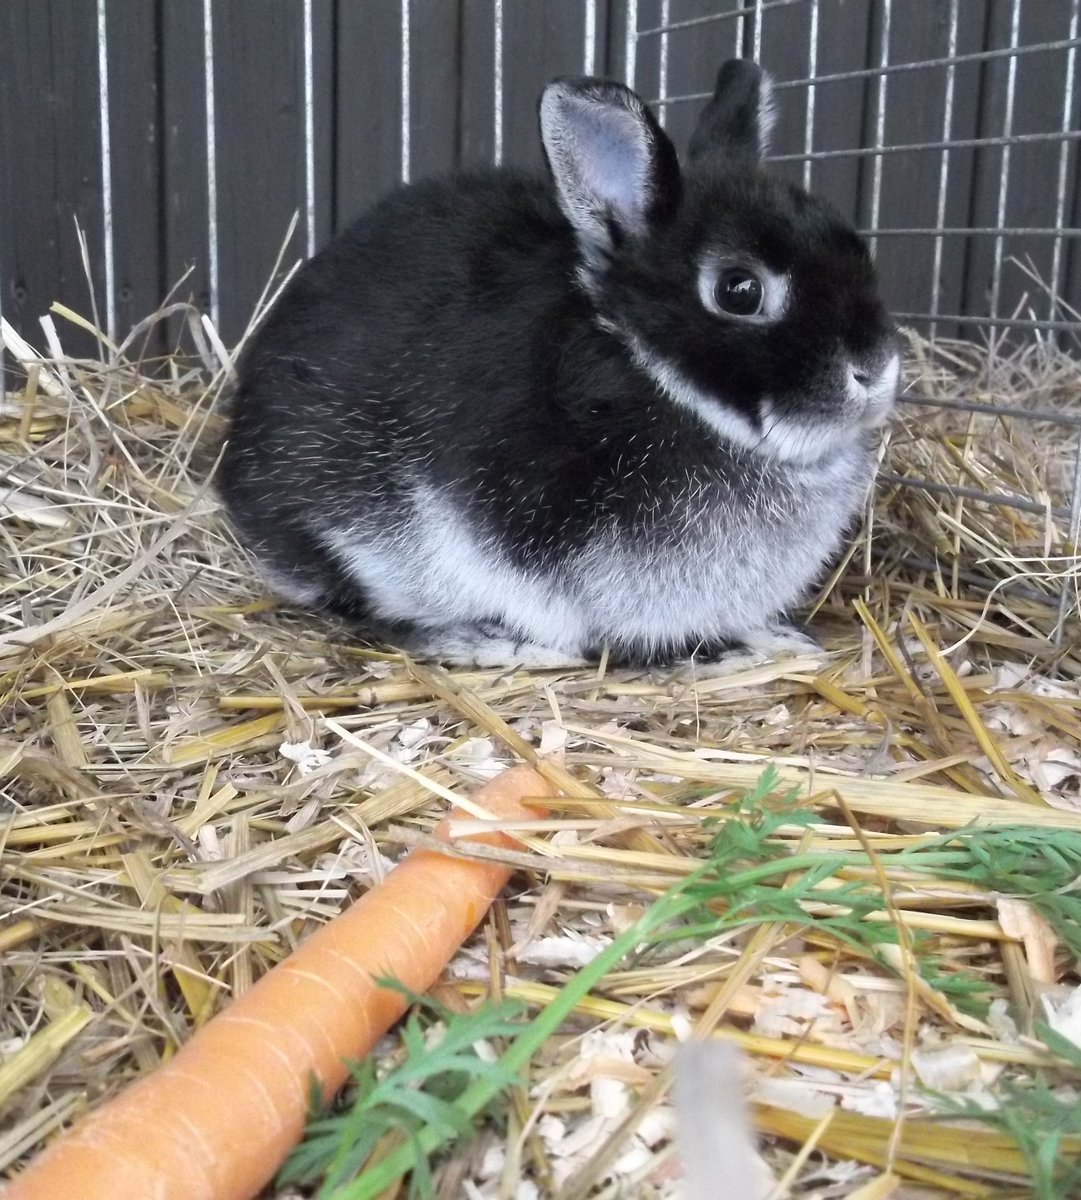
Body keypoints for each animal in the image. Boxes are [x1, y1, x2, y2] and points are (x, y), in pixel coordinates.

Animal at [219, 59, 900, 670]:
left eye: (856, 247)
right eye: (739, 290)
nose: (875, 369)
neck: (646, 368)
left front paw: (776, 636)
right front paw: (731, 653)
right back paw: (484, 643)